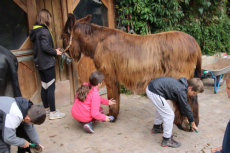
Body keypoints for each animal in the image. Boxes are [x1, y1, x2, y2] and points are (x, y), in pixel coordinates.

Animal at [62, 14, 201, 130]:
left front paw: (112, 116)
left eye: (63, 36)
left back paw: (186, 124)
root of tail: (194, 42)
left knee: (189, 99)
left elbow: (112, 96)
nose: (65, 54)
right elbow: (116, 96)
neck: (99, 41)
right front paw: (115, 114)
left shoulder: (109, 75)